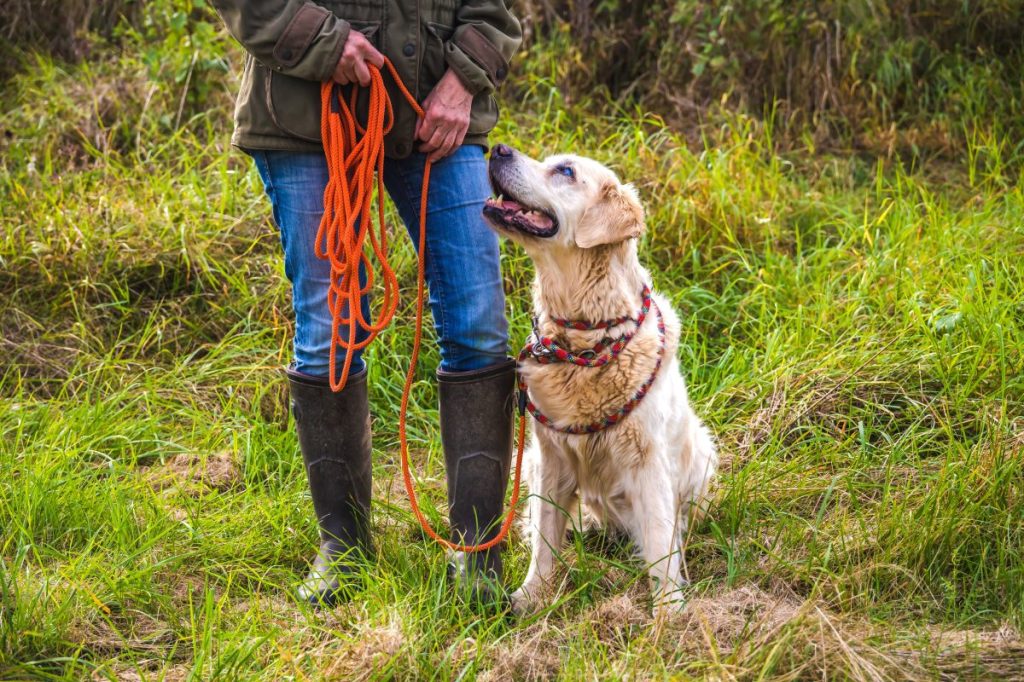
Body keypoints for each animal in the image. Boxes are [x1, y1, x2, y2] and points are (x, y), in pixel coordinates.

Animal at [483, 142, 716, 610]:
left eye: (565, 171)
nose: (497, 148)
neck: (584, 340)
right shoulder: (551, 458)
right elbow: (545, 539)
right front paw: (532, 596)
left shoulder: (647, 461)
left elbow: (660, 540)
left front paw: (670, 611)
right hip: (531, 461)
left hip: (702, 454)